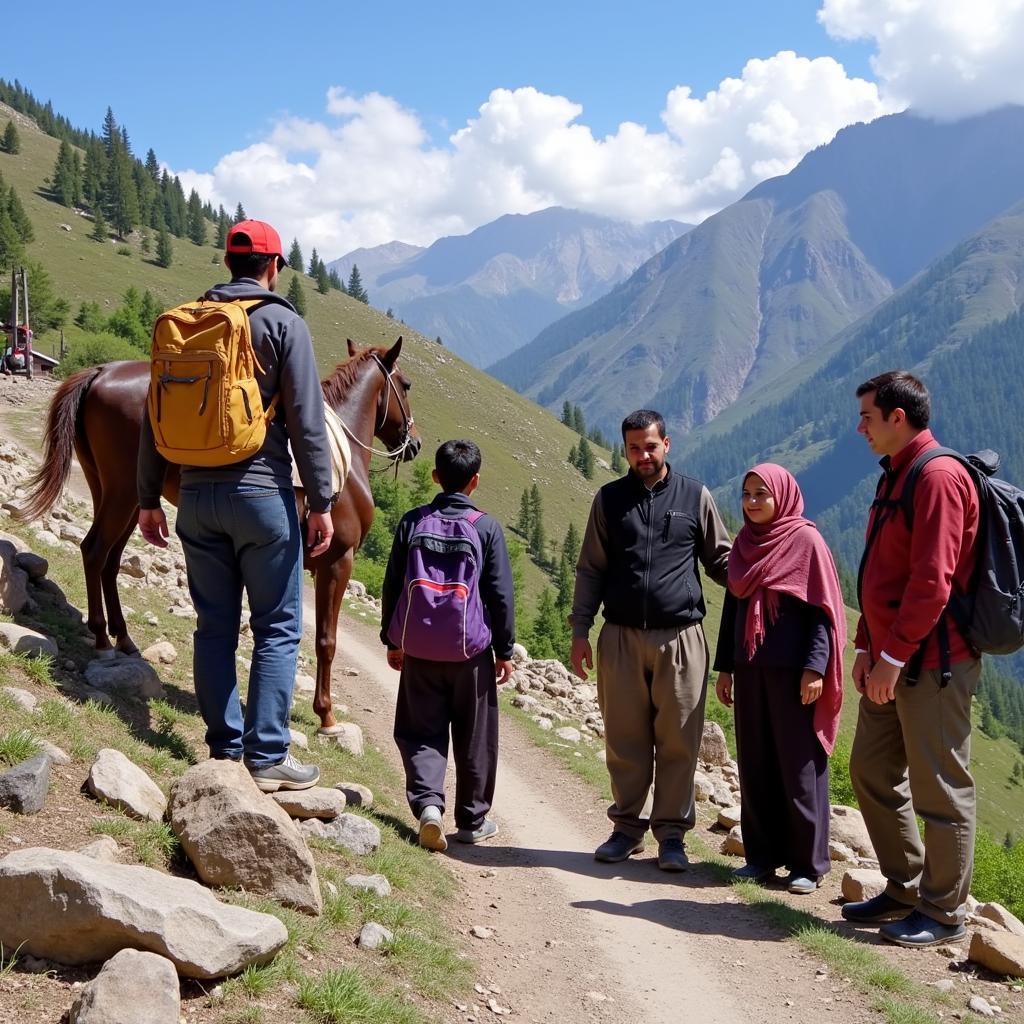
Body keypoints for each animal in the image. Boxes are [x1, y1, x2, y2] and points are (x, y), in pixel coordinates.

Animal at [14, 339, 419, 733]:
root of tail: (102, 371)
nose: (414, 443)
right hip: (122, 495)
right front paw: (326, 716)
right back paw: (102, 640)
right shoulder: (337, 562)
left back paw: (124, 639)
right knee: (95, 551)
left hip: (123, 499)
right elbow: (326, 641)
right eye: (406, 385)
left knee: (109, 561)